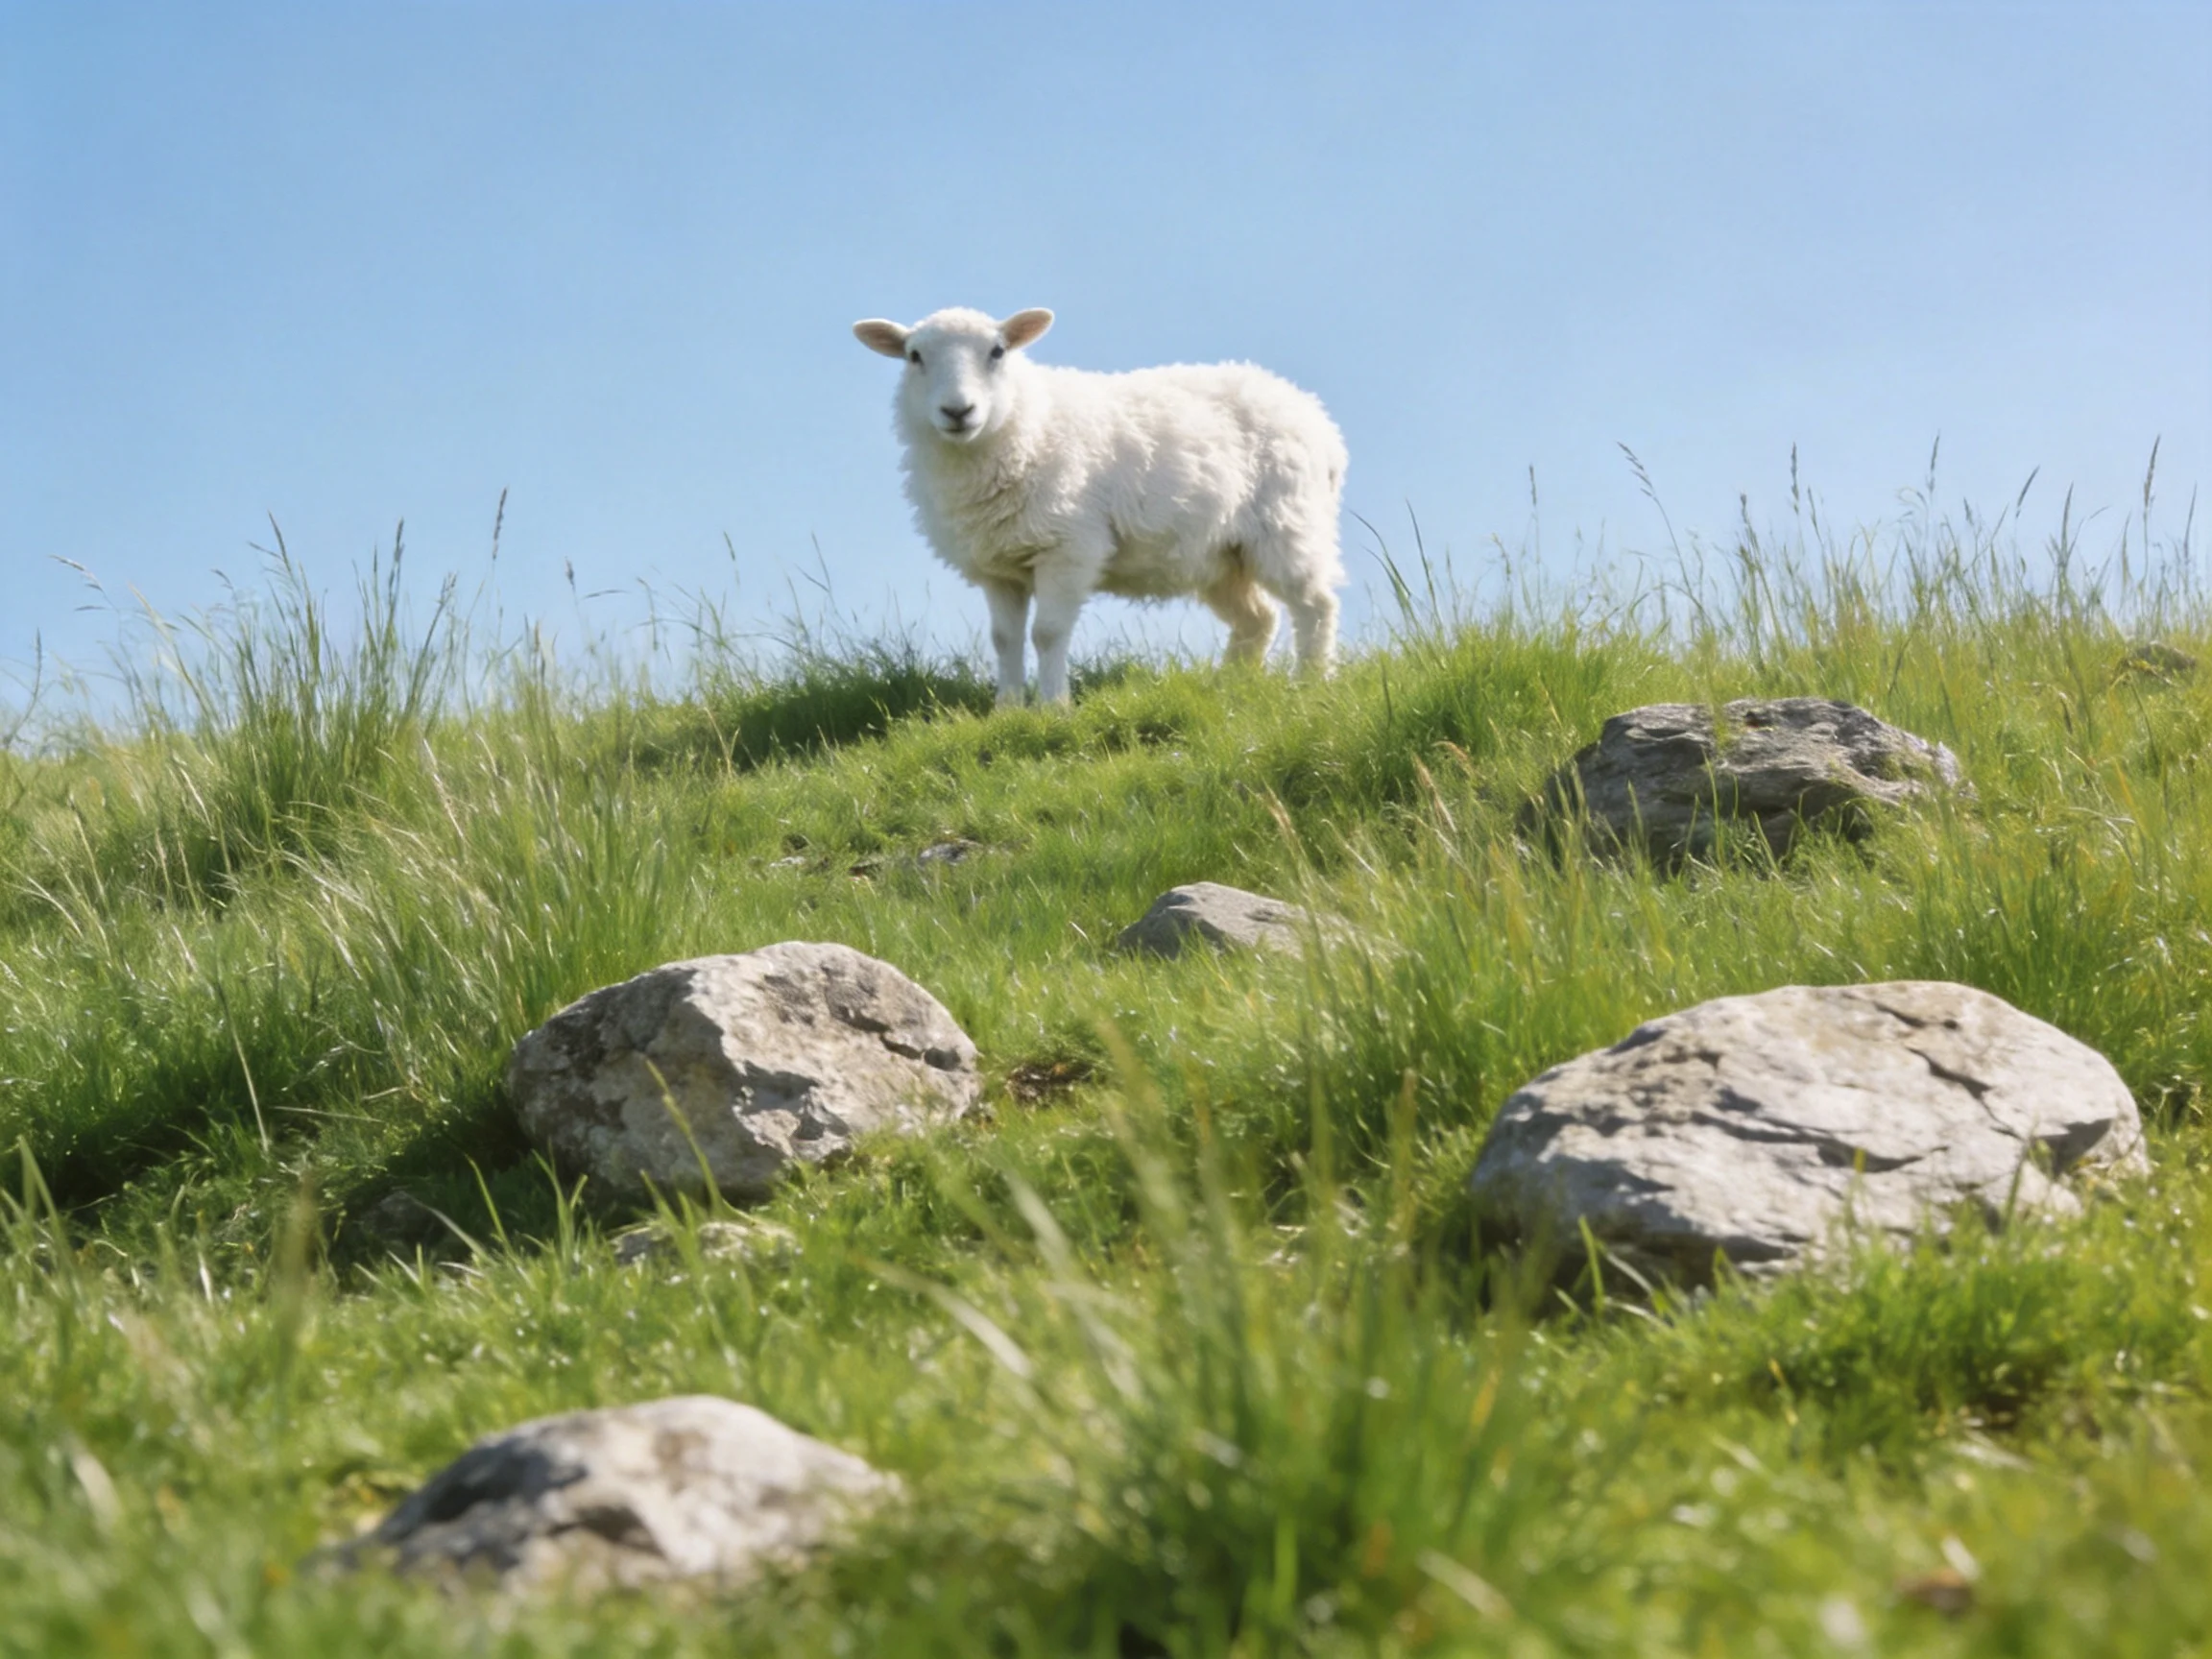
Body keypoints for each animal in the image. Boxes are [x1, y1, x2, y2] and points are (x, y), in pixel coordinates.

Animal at [852, 306, 1346, 705]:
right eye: (914, 356)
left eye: (997, 351)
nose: (958, 411)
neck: (1027, 425)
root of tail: (1317, 417)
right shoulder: (997, 565)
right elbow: (1004, 639)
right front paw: (1006, 710)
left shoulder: (1067, 548)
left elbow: (1047, 634)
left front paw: (1054, 707)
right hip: (1220, 556)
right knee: (1258, 618)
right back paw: (1231, 686)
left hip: (1287, 524)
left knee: (1315, 605)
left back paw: (1310, 682)